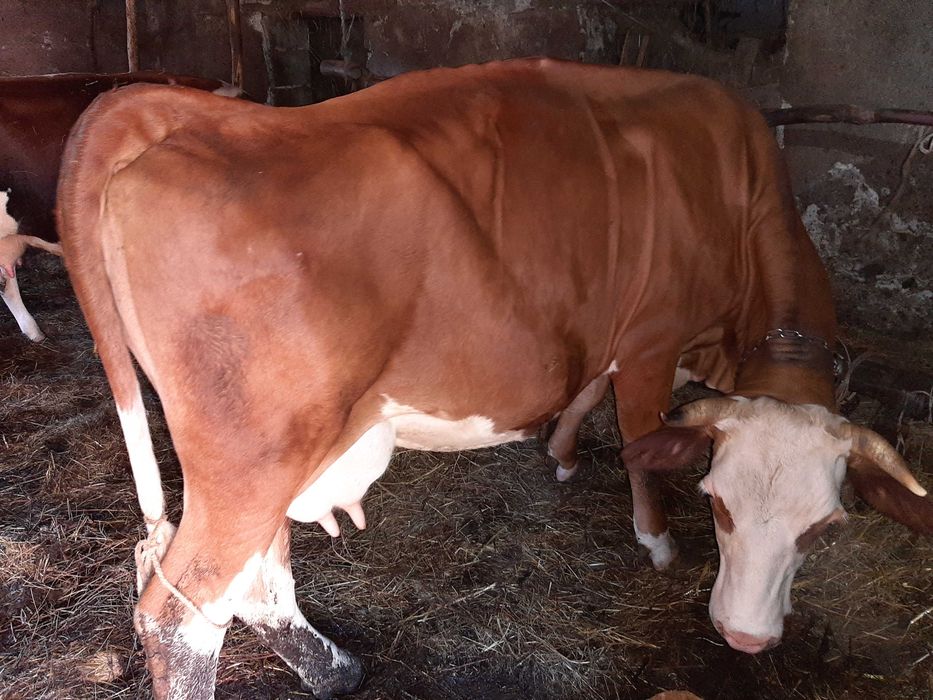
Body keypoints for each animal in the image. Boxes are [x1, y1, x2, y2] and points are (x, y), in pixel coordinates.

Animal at [56, 58, 933, 698]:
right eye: (714, 504)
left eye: (825, 529)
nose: (746, 638)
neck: (733, 190)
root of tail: (185, 117)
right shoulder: (652, 339)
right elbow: (642, 440)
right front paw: (654, 541)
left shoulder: (609, 332)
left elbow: (588, 389)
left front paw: (564, 451)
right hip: (252, 453)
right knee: (182, 614)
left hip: (274, 449)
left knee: (256, 574)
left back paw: (333, 668)